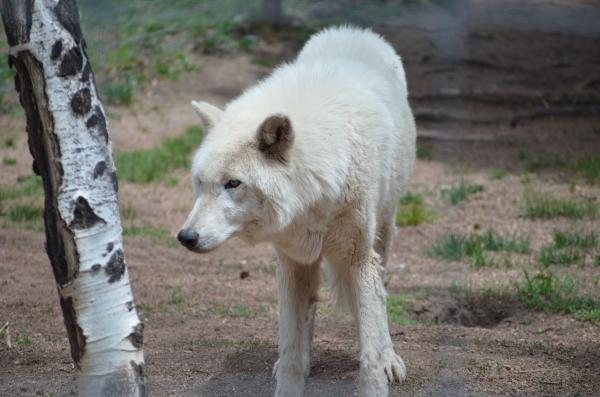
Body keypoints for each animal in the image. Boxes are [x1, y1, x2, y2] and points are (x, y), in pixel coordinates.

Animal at [178, 26, 418, 394]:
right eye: (200, 183)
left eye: (233, 183)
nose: (186, 237)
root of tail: (352, 30)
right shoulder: (291, 259)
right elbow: (291, 344)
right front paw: (292, 375)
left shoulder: (359, 258)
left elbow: (370, 347)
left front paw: (377, 372)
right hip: (302, 264)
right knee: (305, 319)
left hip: (383, 233)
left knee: (381, 298)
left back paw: (389, 356)